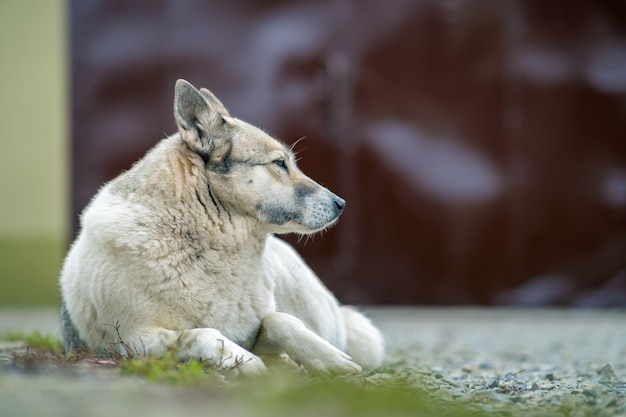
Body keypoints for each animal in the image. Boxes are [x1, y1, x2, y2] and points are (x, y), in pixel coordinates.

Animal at [59, 78, 380, 374]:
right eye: (279, 163)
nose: (341, 204)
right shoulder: (134, 340)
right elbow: (203, 334)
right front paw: (246, 362)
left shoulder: (257, 327)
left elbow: (278, 319)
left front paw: (326, 358)